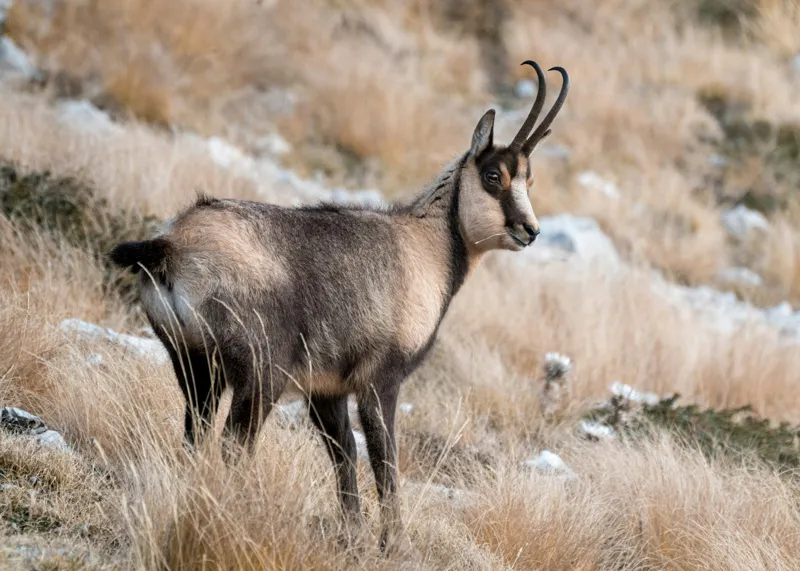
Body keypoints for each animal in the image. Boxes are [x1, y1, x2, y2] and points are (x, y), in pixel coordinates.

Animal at [108, 60, 569, 553]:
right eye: (493, 176)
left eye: (528, 178)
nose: (530, 230)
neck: (426, 248)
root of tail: (170, 244)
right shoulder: (379, 380)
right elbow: (384, 459)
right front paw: (393, 542)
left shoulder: (326, 389)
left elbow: (343, 452)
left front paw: (354, 533)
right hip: (260, 373)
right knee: (235, 444)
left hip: (193, 364)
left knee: (196, 434)